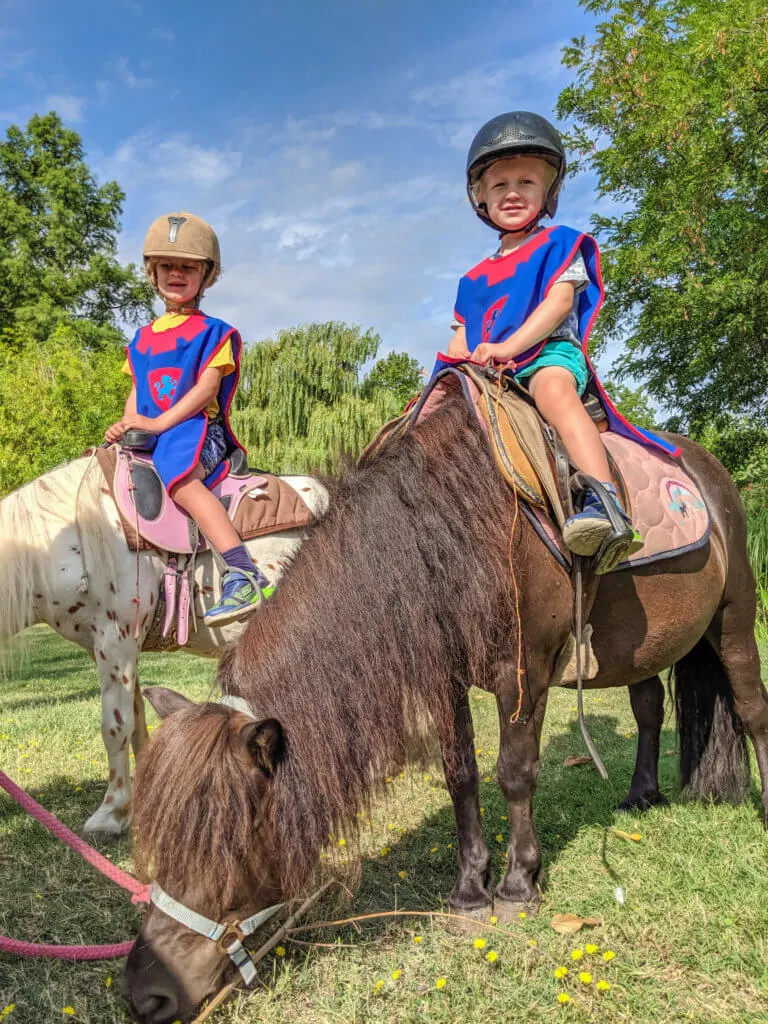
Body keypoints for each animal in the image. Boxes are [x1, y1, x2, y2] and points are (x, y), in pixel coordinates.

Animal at [124, 385, 768, 1024]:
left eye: (224, 843)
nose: (147, 992)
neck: (449, 531)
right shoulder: (448, 678)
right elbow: (461, 776)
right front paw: (469, 890)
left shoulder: (524, 671)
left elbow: (514, 774)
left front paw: (518, 885)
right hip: (643, 645)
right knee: (649, 707)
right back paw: (640, 795)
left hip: (734, 617)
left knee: (752, 709)